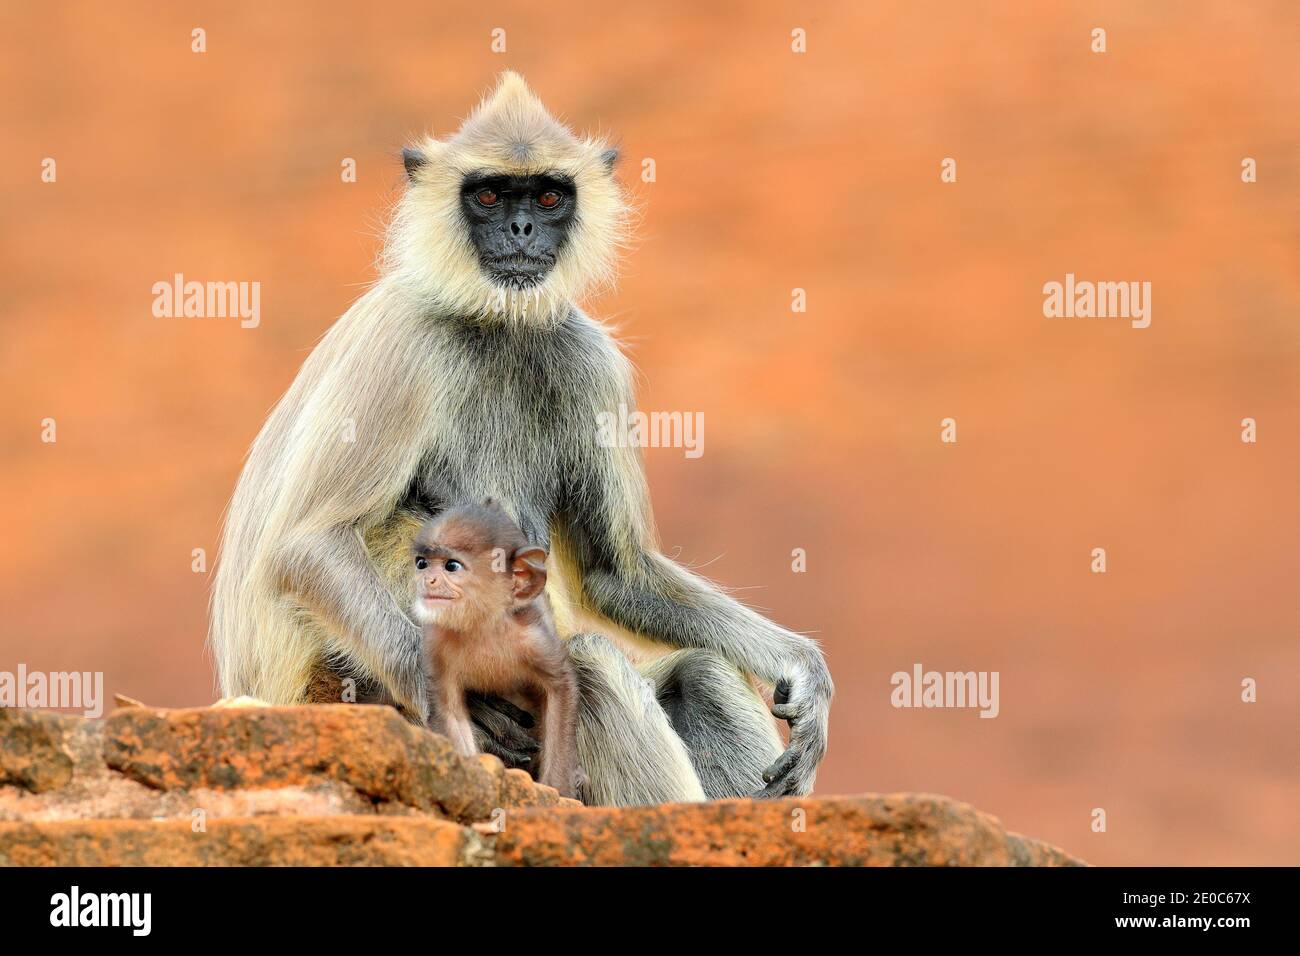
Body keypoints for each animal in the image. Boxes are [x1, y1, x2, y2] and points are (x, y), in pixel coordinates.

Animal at [411, 501, 583, 799]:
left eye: (451, 566)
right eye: (422, 563)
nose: (427, 580)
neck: (481, 626)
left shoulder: (532, 638)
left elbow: (560, 687)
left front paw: (558, 790)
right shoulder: (436, 642)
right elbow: (449, 709)